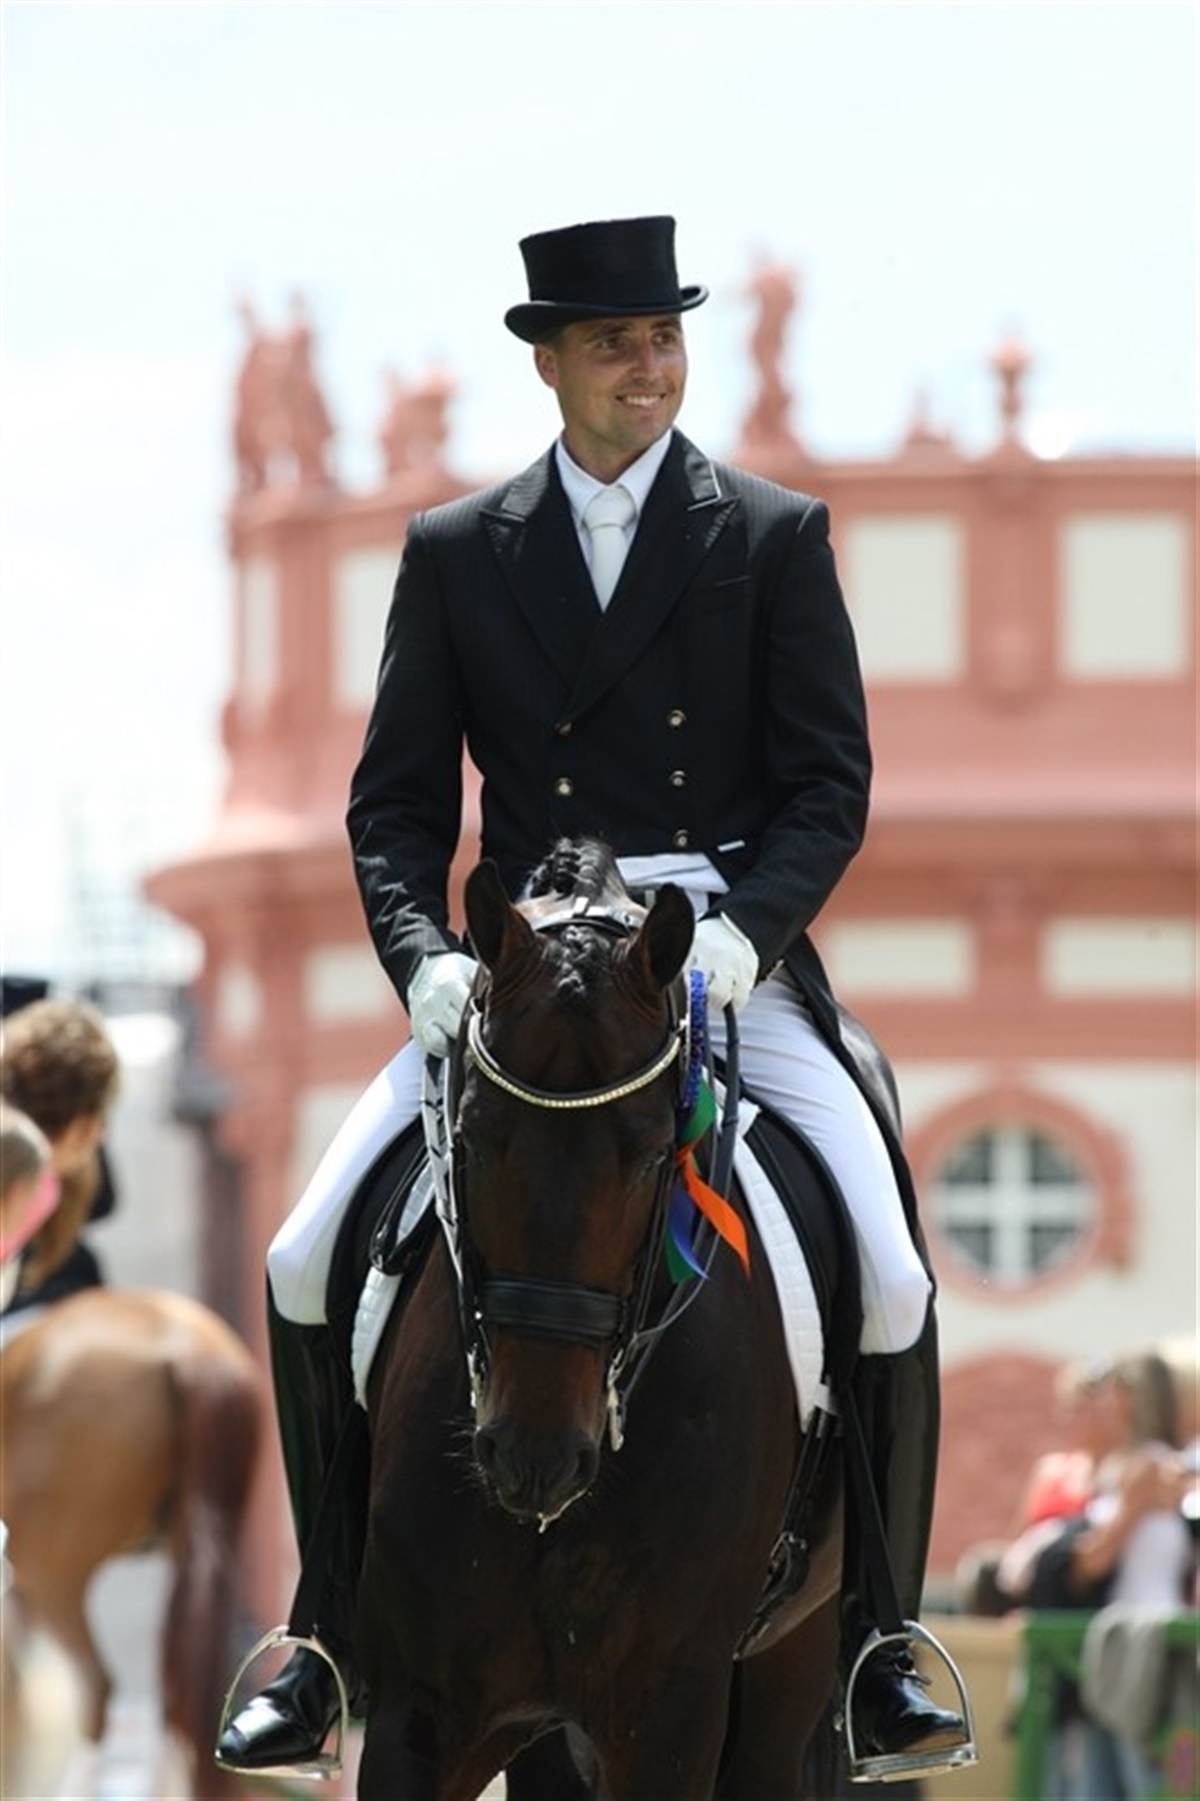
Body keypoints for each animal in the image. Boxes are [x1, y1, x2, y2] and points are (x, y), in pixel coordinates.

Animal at [352, 839, 854, 1800]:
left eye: (657, 1150)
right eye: (469, 1137)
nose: (534, 1455)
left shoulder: (671, 1715)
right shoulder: (421, 1712)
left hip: (790, 1668)